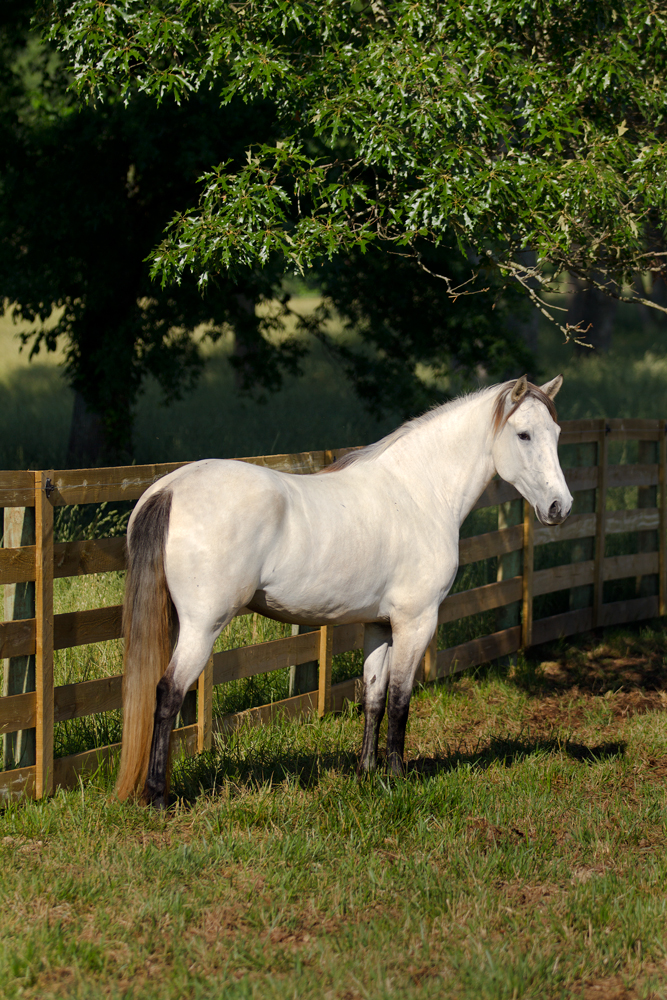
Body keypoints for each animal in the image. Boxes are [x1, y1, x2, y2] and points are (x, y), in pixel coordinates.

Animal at [116, 376, 576, 804]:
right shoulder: (416, 622)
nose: (560, 507)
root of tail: (169, 488)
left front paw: (366, 773)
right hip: (203, 625)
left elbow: (373, 697)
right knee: (168, 693)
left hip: (180, 623)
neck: (418, 493)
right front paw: (397, 777)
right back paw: (157, 796)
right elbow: (400, 699)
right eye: (524, 435)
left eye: (556, 434)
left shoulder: (379, 625)